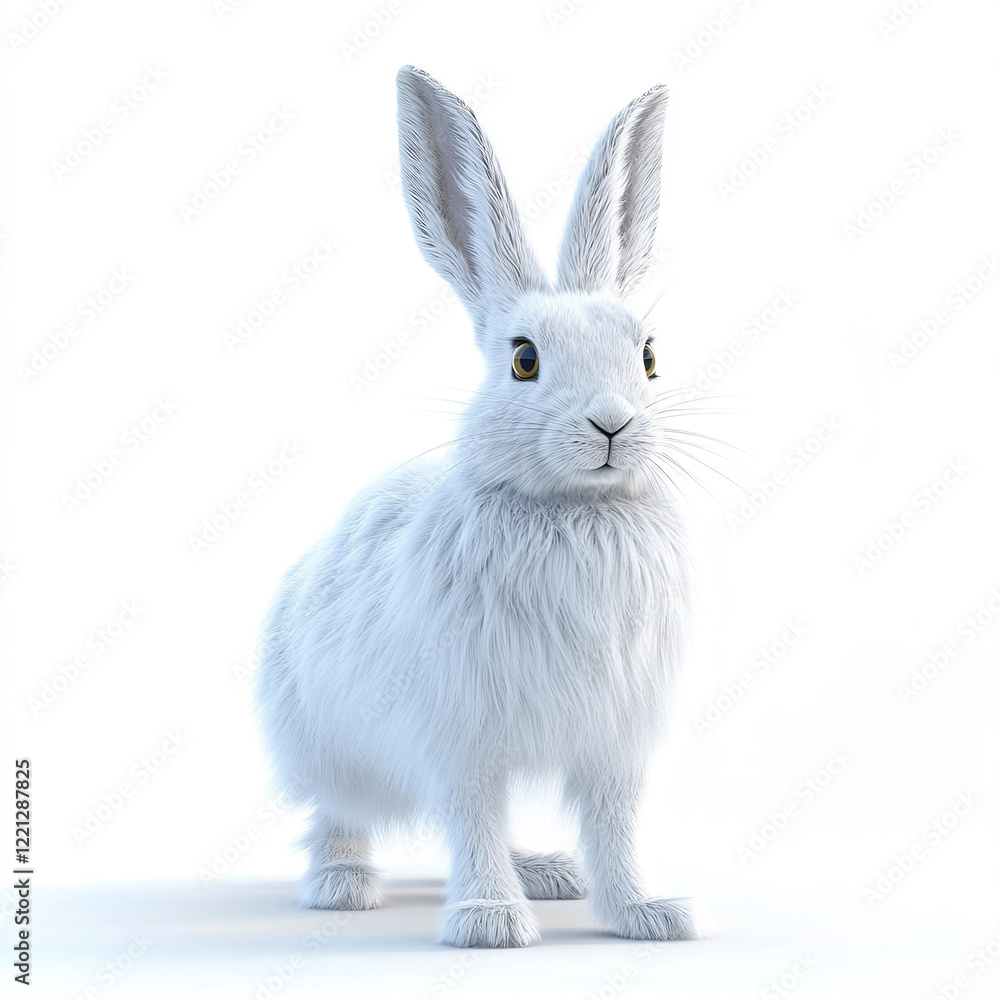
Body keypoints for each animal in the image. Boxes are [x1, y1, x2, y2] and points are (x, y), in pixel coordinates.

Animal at [255, 64, 704, 949]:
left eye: (647, 356)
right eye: (523, 360)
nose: (612, 423)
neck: (573, 510)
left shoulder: (614, 740)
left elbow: (613, 825)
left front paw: (646, 914)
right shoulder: (461, 730)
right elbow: (471, 811)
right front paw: (490, 923)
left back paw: (547, 873)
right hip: (329, 743)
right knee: (345, 814)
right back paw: (342, 886)